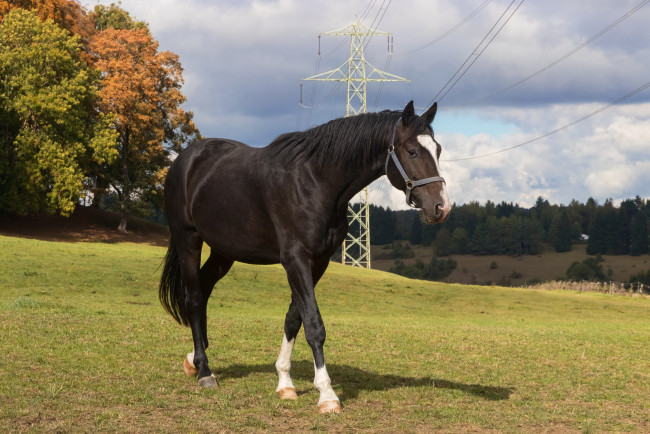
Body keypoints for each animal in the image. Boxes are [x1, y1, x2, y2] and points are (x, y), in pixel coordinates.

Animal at [159, 101, 448, 414]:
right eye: (412, 151)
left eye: (438, 149)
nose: (441, 207)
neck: (315, 181)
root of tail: (185, 159)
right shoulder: (295, 259)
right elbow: (313, 324)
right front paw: (327, 394)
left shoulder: (318, 261)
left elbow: (293, 319)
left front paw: (285, 382)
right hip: (188, 239)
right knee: (194, 298)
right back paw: (204, 372)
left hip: (224, 252)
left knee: (204, 290)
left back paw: (194, 359)